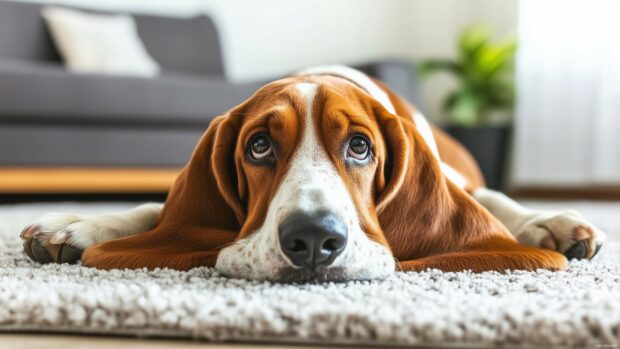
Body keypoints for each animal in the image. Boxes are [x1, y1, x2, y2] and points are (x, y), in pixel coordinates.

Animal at [20, 66, 604, 282]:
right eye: (258, 146)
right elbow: (154, 210)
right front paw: (81, 225)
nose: (314, 241)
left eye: (360, 147)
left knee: (491, 195)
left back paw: (554, 223)